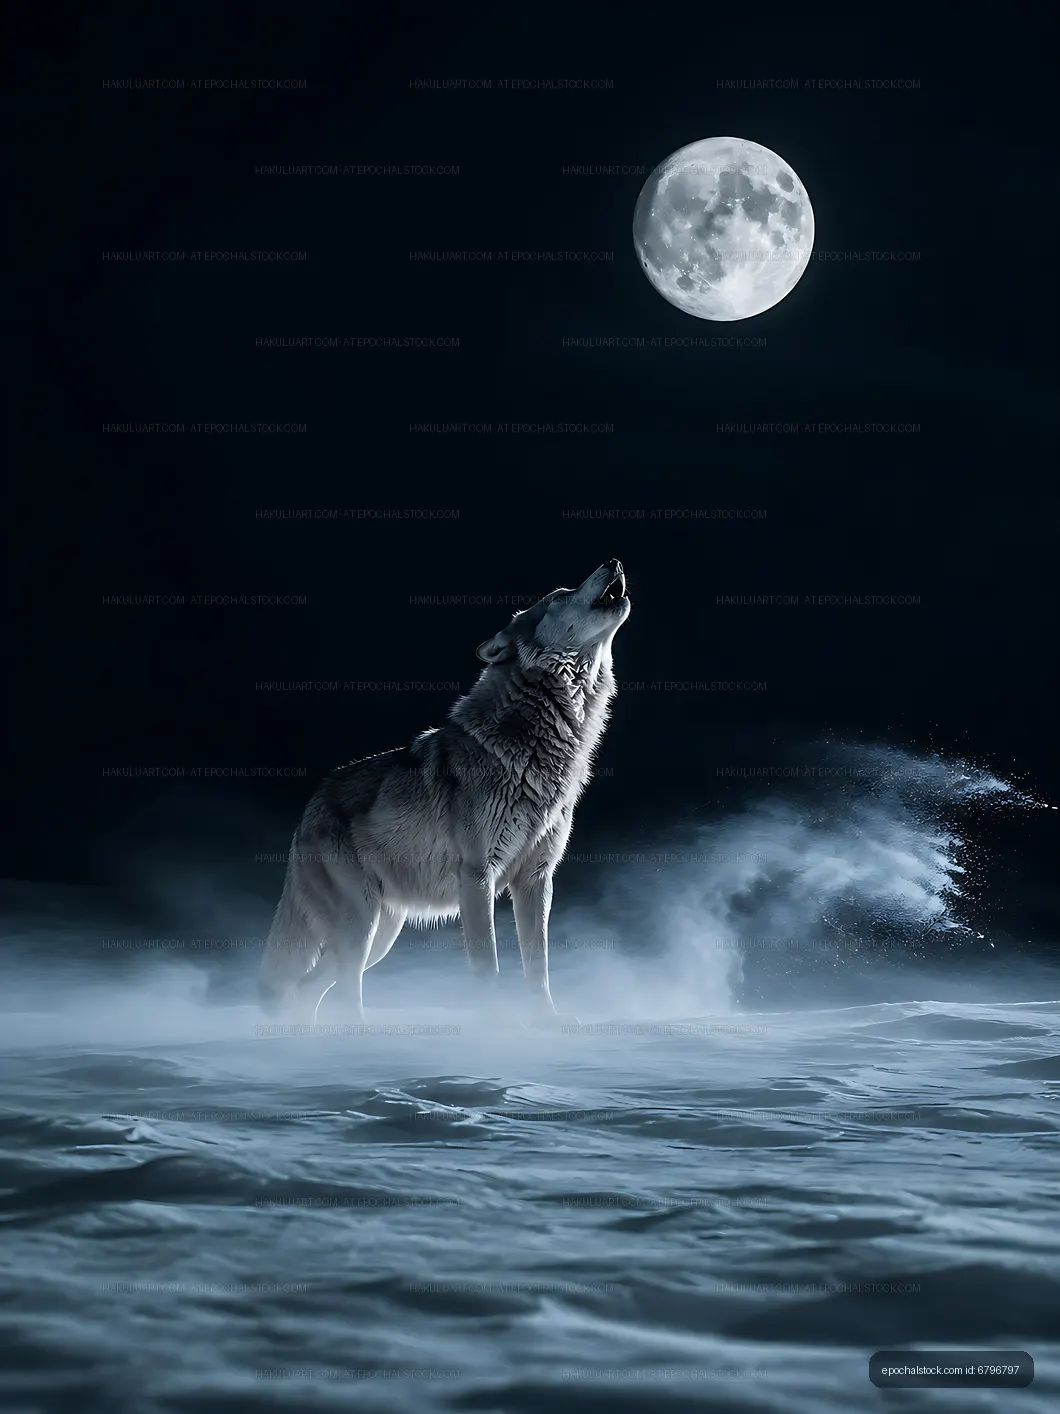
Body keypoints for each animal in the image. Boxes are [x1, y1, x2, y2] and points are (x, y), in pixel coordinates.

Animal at [258, 560, 631, 1025]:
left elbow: (538, 966)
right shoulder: (477, 876)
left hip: (381, 933)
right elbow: (488, 965)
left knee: (308, 989)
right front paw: (497, 1026)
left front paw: (547, 1021)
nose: (614, 561)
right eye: (561, 594)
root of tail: (310, 807)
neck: (533, 747)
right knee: (337, 991)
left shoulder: (536, 879)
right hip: (360, 925)